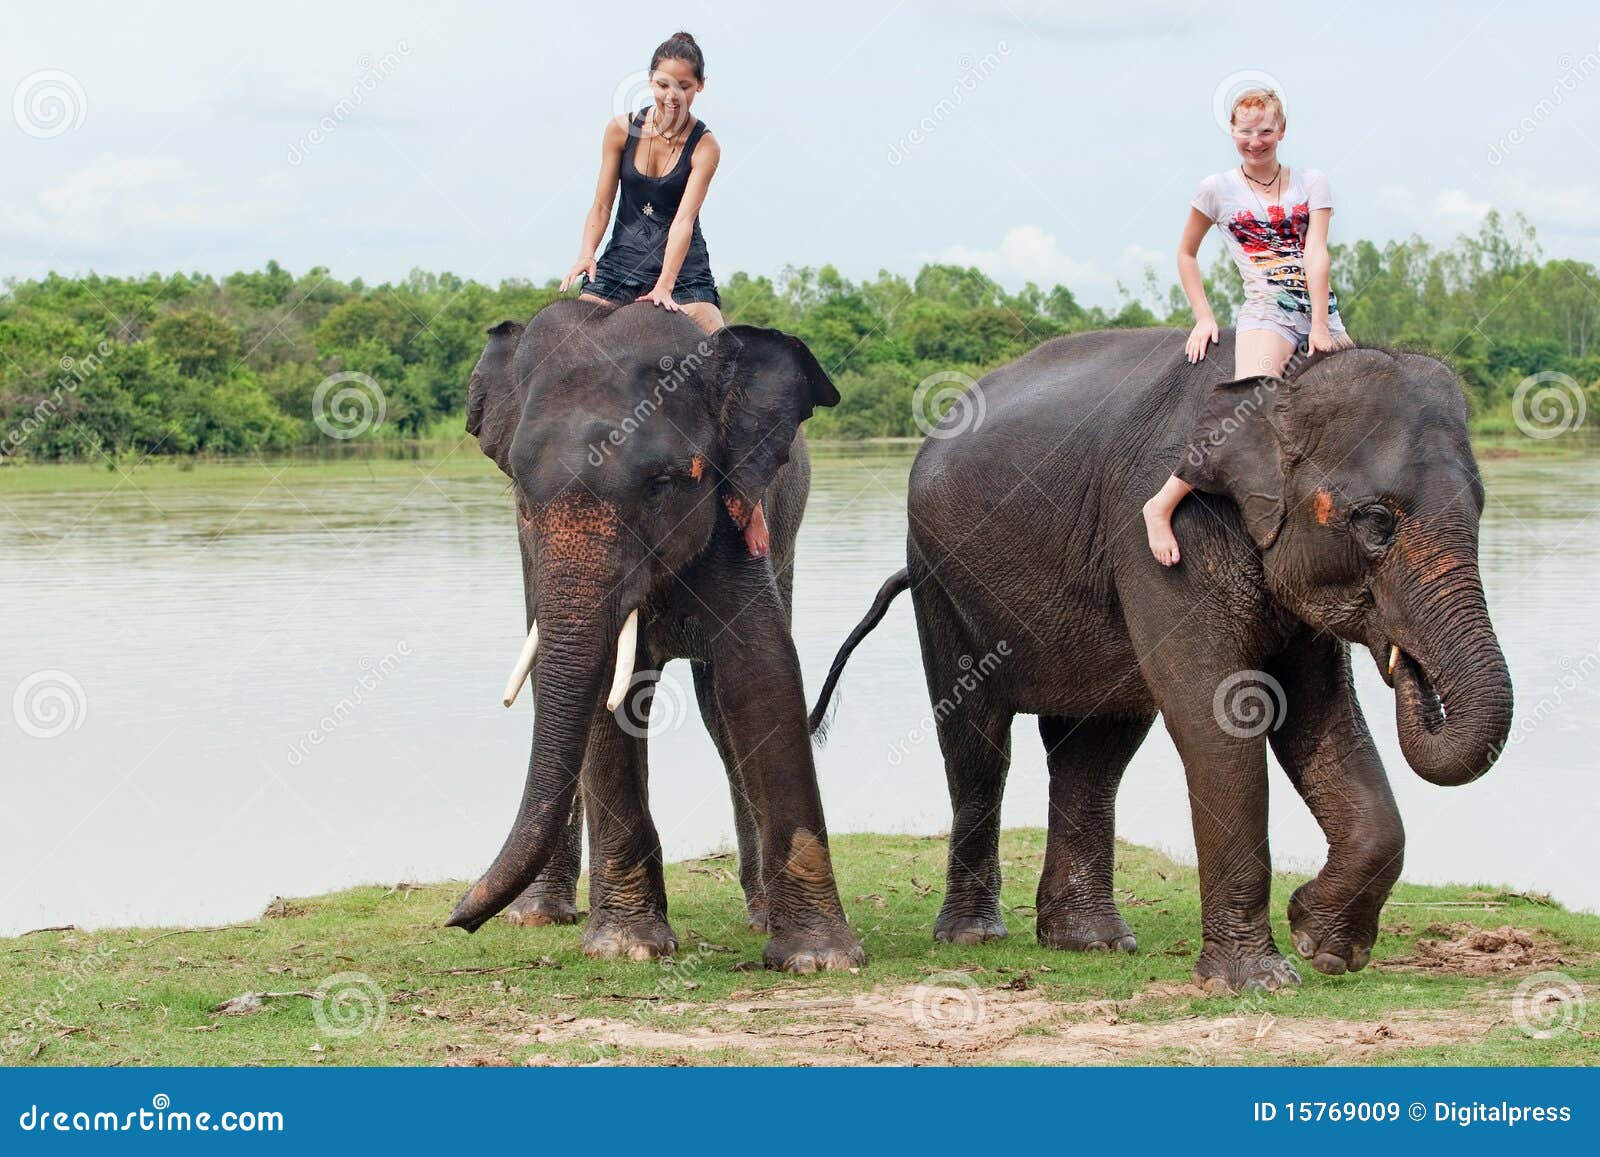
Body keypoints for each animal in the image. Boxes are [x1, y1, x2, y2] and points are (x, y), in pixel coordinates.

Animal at [447, 298, 865, 973]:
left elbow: (762, 677)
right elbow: (602, 701)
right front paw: (628, 948)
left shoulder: (737, 515)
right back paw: (537, 915)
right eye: (521, 493)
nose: (457, 916)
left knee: (719, 715)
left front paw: (819, 959)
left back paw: (758, 916)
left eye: (664, 484)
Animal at [808, 327, 1511, 993]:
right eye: (1375, 522)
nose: (1406, 665)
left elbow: (1320, 713)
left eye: (1481, 509)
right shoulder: (1162, 534)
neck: (1283, 380)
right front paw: (1257, 981)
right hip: (940, 581)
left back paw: (1090, 943)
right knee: (978, 745)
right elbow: (1220, 714)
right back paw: (973, 937)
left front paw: (1322, 944)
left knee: (1095, 750)